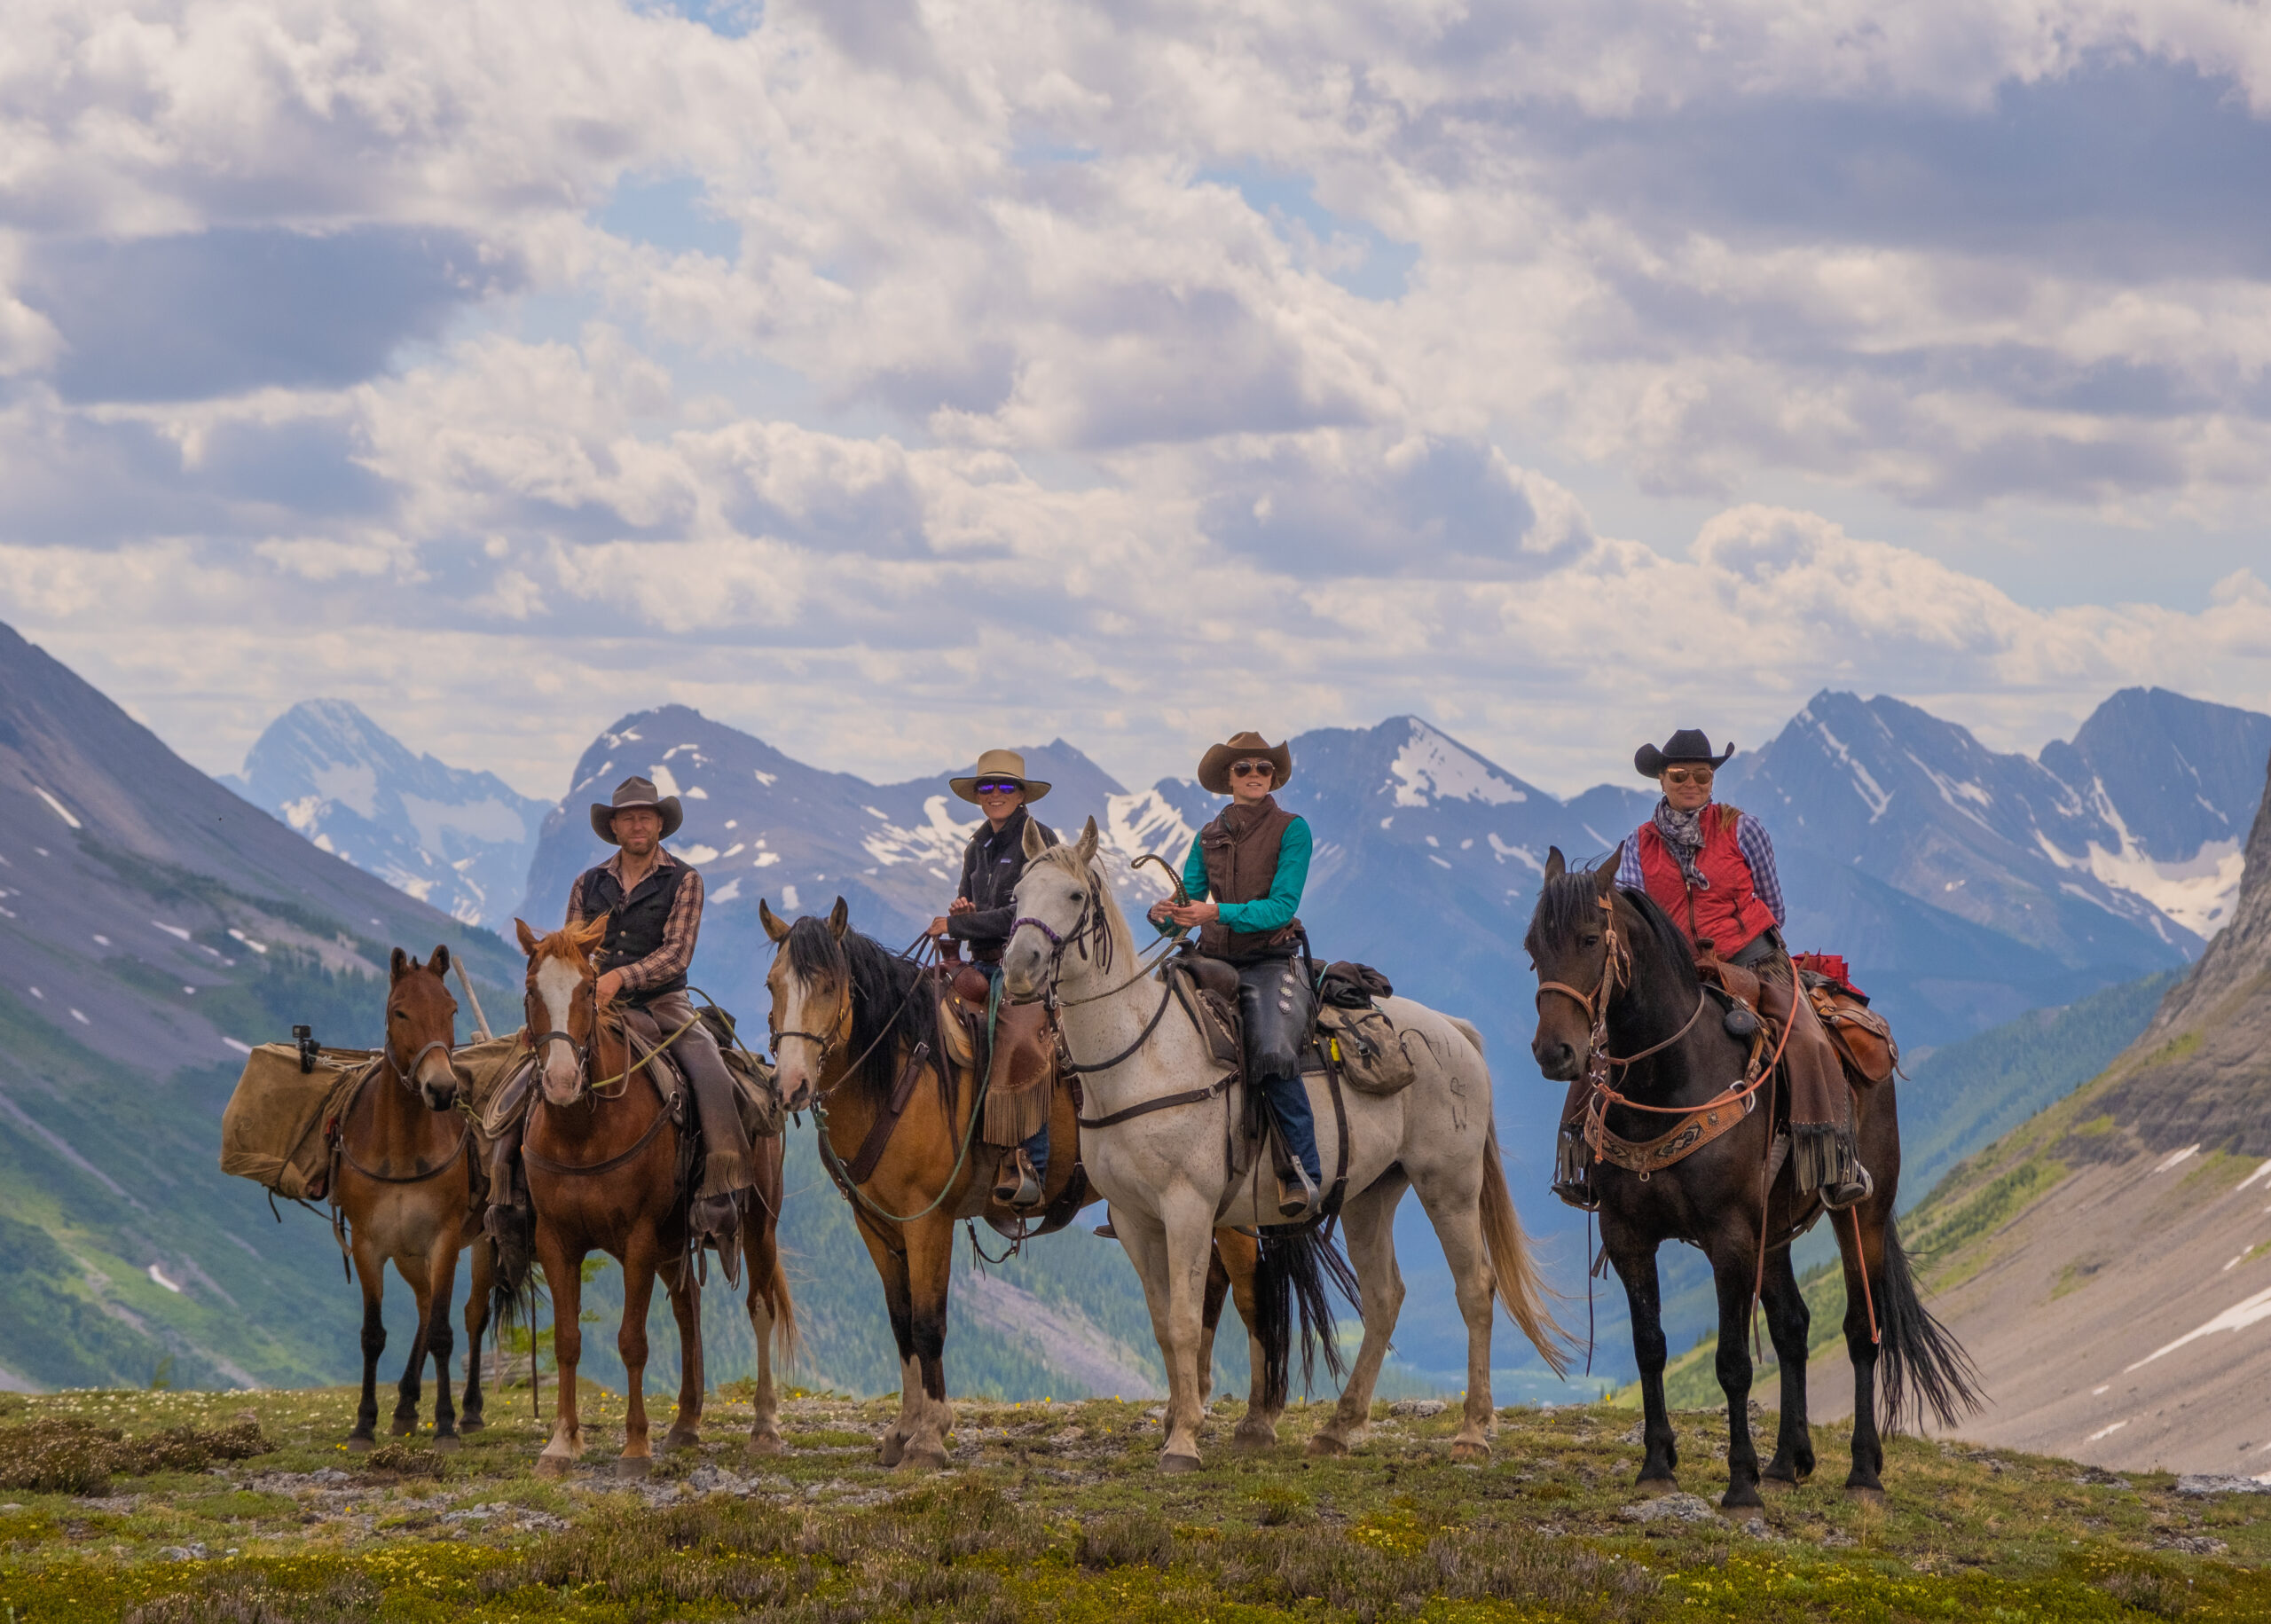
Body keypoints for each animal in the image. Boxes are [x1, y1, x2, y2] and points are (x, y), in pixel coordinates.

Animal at [331, 945, 495, 1453]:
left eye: (452, 1010)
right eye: (399, 1012)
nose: (441, 1090)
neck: (401, 1147)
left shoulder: (445, 1241)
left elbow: (444, 1332)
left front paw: (444, 1425)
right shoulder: (369, 1245)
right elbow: (373, 1334)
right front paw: (364, 1425)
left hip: (485, 1243)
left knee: (472, 1315)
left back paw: (470, 1411)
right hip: (407, 1253)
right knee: (424, 1306)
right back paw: (404, 1406)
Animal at [506, 922, 799, 1480]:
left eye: (588, 990)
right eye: (531, 990)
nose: (560, 1082)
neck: (583, 1131)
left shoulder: (638, 1239)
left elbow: (632, 1342)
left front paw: (635, 1447)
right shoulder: (556, 1240)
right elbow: (568, 1341)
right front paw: (561, 1443)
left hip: (758, 1225)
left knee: (760, 1307)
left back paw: (766, 1429)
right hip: (673, 1241)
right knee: (689, 1311)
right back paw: (685, 1425)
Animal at [767, 904, 1326, 1471]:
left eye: (829, 986)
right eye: (773, 985)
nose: (790, 1086)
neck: (906, 1067)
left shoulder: (928, 1219)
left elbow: (928, 1323)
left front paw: (928, 1437)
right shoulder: (877, 1224)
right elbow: (901, 1322)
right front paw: (901, 1431)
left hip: (1228, 1209)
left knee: (1253, 1295)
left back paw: (1255, 1424)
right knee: (1210, 1289)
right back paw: (1182, 1414)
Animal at [1003, 817, 1571, 1471]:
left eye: (1074, 895)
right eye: (1017, 895)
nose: (1018, 968)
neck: (1141, 1057)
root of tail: (1453, 1030)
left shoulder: (1188, 1208)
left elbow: (1184, 1320)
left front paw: (1184, 1441)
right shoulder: (1132, 1217)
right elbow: (1162, 1323)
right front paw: (1178, 1422)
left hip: (1448, 1185)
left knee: (1475, 1287)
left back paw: (1473, 1431)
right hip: (1370, 1194)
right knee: (1384, 1296)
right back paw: (1339, 1427)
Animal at [1526, 858, 1989, 1508]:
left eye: (1591, 939)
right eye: (1533, 948)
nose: (1554, 1052)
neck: (1666, 1082)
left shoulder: (1729, 1237)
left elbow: (1733, 1362)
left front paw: (1740, 1483)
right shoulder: (1628, 1236)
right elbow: (1651, 1347)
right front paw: (1658, 1465)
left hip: (1860, 1215)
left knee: (1861, 1330)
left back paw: (1862, 1471)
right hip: (1772, 1231)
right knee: (1793, 1326)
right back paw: (1786, 1461)